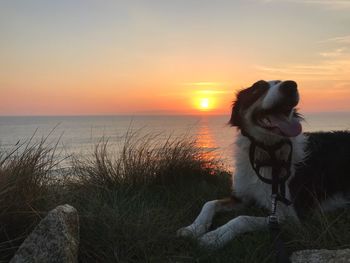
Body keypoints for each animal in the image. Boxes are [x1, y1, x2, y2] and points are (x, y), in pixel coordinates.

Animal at [176, 80, 350, 250]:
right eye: (258, 88)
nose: (291, 85)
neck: (267, 154)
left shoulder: (290, 218)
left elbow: (242, 219)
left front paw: (215, 236)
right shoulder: (242, 197)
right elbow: (210, 203)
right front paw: (193, 228)